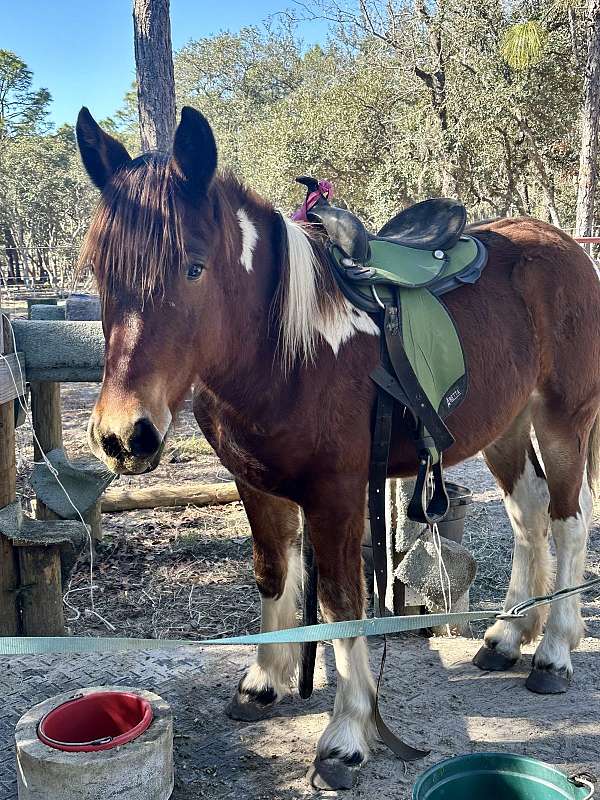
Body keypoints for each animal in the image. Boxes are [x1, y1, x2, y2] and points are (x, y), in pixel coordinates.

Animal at [77, 106, 600, 788]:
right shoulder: (258, 485)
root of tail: (564, 245)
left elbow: (342, 603)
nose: (123, 434)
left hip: (564, 419)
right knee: (529, 513)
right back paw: (509, 635)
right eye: (97, 269)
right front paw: (264, 682)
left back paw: (555, 651)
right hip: (506, 426)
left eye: (193, 266)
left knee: (569, 520)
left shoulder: (337, 496)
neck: (284, 353)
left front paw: (348, 734)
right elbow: (274, 573)